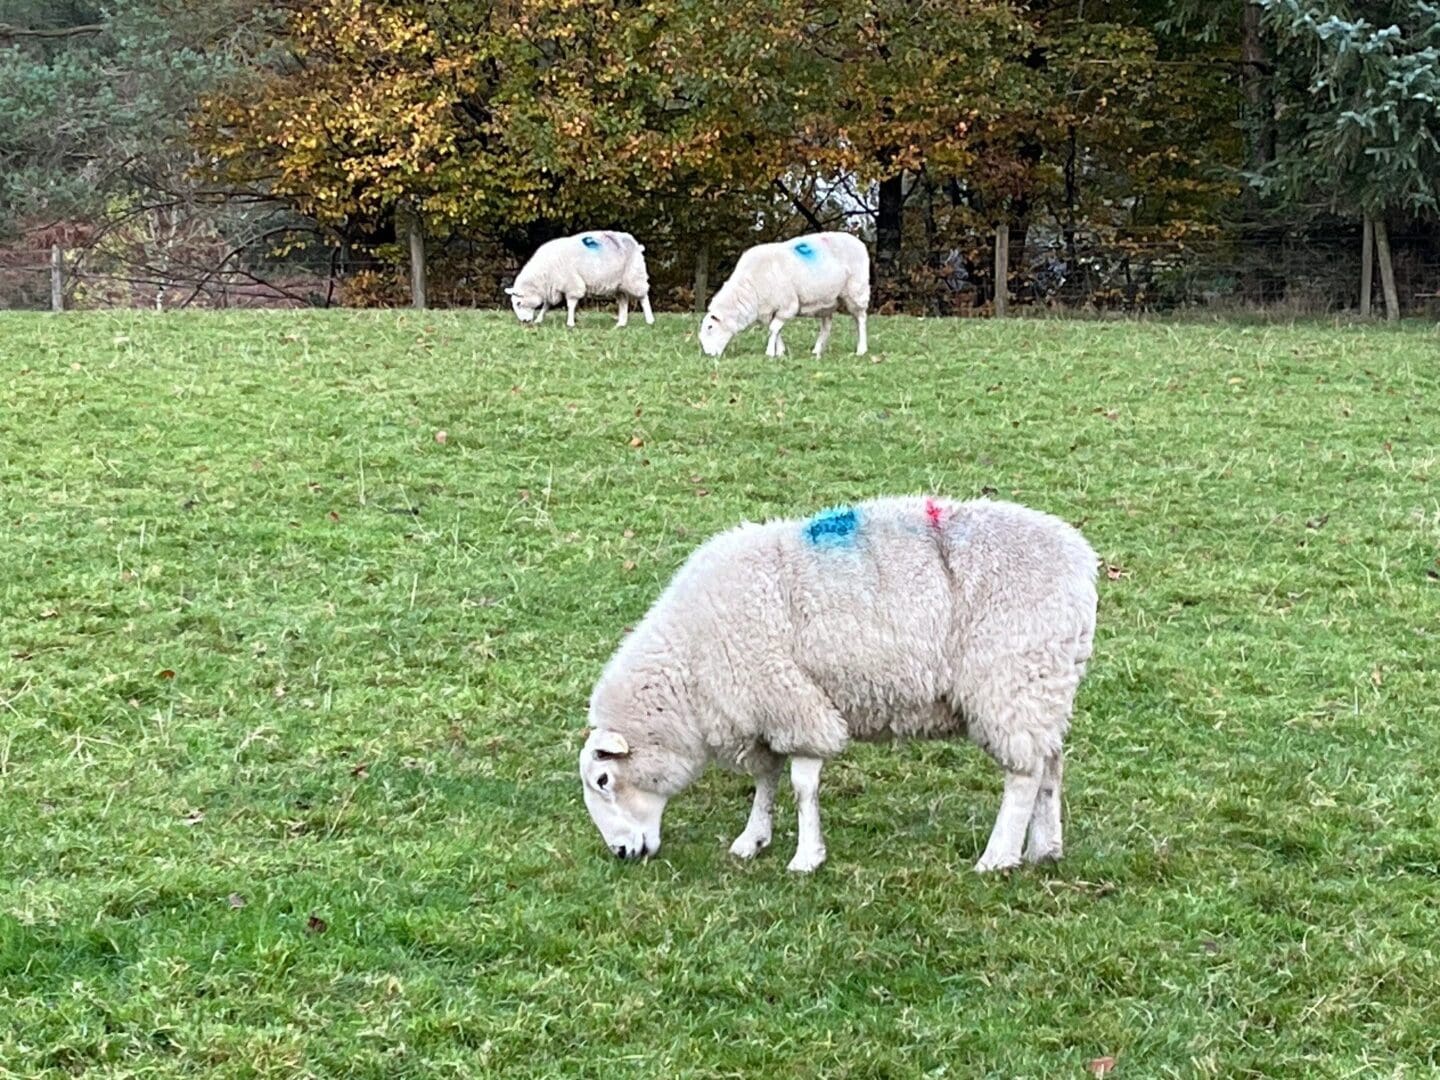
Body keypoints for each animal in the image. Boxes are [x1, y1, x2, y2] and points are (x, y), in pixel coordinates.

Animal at [505, 231, 654, 328]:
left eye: (518, 303)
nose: (524, 322)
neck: (542, 276)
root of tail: (636, 244)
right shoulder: (553, 287)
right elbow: (547, 305)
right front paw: (539, 319)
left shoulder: (572, 285)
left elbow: (570, 305)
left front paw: (570, 323)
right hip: (619, 284)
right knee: (623, 301)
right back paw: (621, 324)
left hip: (635, 276)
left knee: (643, 297)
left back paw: (650, 320)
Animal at [579, 495, 1098, 874]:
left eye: (603, 780)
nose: (621, 853)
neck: (688, 667)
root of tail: (1082, 564)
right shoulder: (763, 713)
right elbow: (765, 780)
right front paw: (753, 839)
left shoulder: (795, 703)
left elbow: (802, 786)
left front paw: (806, 858)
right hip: (1046, 684)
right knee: (1050, 765)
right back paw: (1045, 849)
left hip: (1012, 680)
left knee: (1023, 776)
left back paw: (998, 857)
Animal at [698, 231, 870, 358]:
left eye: (710, 327)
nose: (708, 354)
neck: (749, 287)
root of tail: (858, 242)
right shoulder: (769, 309)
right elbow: (775, 330)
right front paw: (780, 351)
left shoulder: (788, 305)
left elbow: (774, 328)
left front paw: (770, 353)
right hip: (827, 300)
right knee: (827, 326)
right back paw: (817, 350)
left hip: (856, 291)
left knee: (861, 319)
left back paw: (861, 349)